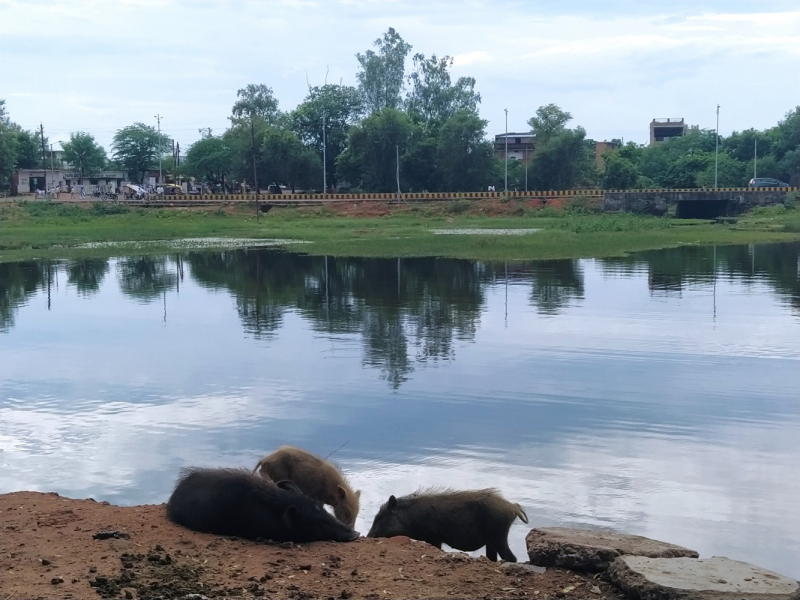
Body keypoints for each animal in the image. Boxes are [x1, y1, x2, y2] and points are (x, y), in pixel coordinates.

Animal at [366, 488, 528, 564]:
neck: (410, 517)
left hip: (498, 536)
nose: (368, 536)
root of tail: (513, 507)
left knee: (512, 558)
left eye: (380, 517)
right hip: (491, 542)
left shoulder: (434, 538)